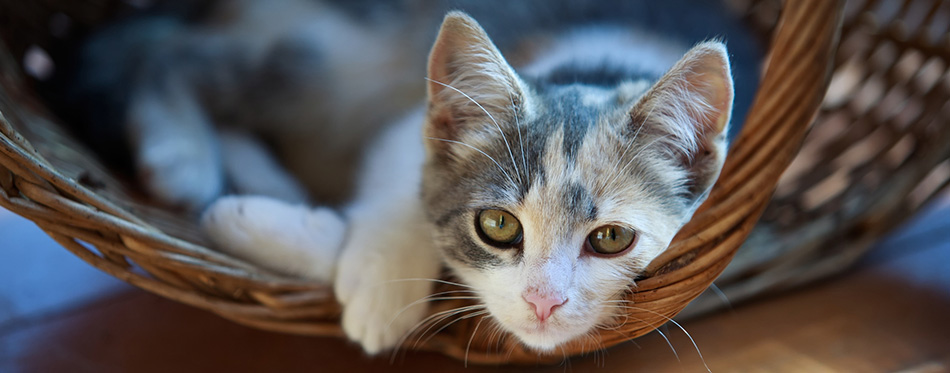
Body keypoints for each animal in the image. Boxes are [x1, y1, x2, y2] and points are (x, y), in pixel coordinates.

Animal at [203, 4, 752, 354]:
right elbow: (405, 178)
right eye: (499, 225)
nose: (543, 302)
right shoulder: (410, 125)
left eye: (612, 237)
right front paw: (380, 285)